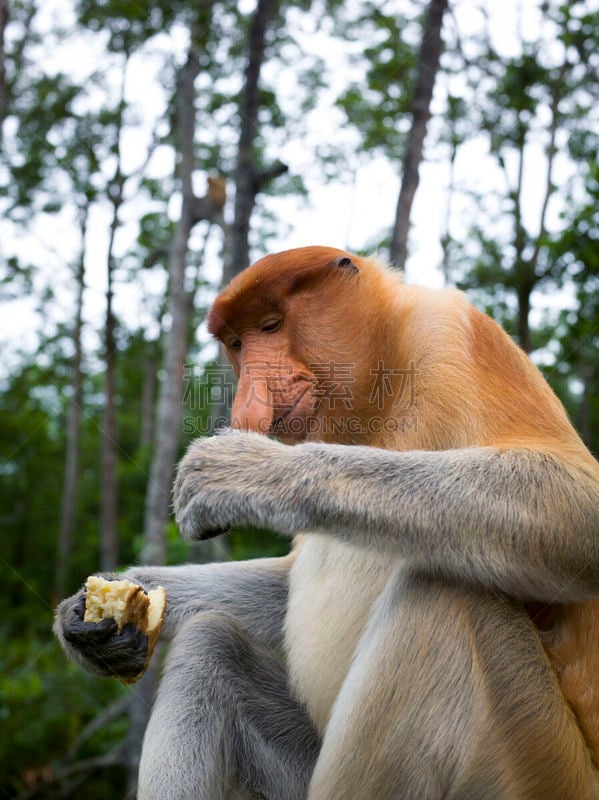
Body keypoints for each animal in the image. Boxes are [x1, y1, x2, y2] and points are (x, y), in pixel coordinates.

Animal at [55, 247, 599, 800]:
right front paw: (85, 617)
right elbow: (283, 586)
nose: (249, 401)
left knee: (444, 594)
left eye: (271, 326)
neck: (378, 397)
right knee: (212, 644)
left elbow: (577, 505)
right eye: (238, 344)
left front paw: (240, 471)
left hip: (537, 762)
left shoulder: (454, 332)